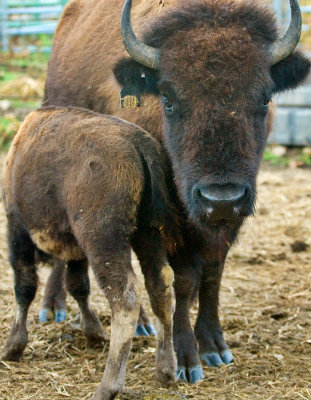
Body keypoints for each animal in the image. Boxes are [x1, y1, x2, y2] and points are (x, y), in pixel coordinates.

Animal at [1, 107, 179, 400]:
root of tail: (137, 142)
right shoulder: (76, 251)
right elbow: (77, 286)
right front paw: (94, 333)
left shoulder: (17, 232)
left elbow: (24, 287)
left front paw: (12, 347)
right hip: (148, 234)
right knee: (160, 286)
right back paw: (166, 371)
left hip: (103, 241)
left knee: (125, 298)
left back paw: (107, 387)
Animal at [42, 0, 310, 384]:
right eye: (168, 99)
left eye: (263, 98)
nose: (220, 199)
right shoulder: (169, 224)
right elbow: (181, 281)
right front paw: (187, 359)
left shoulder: (229, 223)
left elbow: (212, 275)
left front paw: (214, 346)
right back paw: (56, 308)